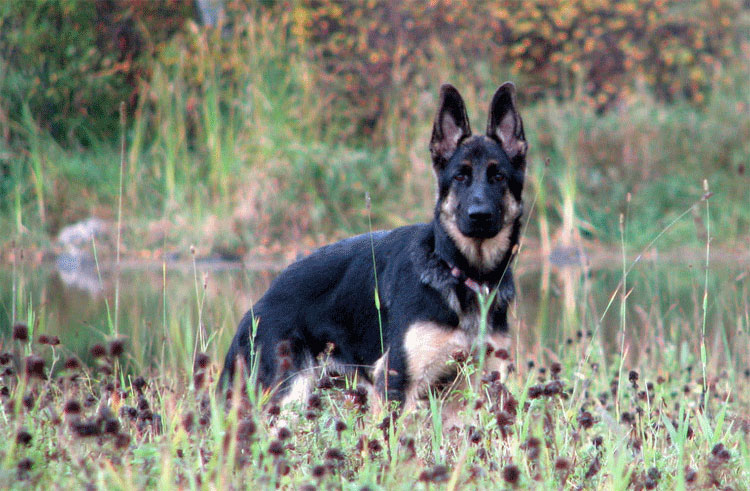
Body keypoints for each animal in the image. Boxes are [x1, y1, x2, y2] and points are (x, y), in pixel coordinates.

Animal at [220, 82, 528, 410]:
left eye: (498, 176)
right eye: (460, 176)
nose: (479, 215)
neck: (463, 273)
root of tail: (259, 304)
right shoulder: (397, 384)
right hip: (289, 398)